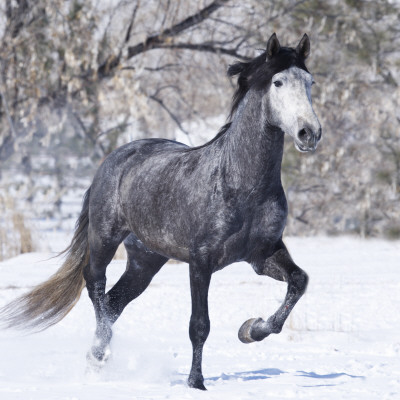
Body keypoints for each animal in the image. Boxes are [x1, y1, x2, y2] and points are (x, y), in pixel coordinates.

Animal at [0, 32, 320, 390]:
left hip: (146, 260)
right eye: (278, 82)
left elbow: (298, 282)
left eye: (310, 82)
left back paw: (97, 359)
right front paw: (196, 383)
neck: (241, 184)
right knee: (95, 285)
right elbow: (199, 324)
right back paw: (99, 354)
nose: (309, 133)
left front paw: (250, 329)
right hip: (104, 238)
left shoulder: (262, 255)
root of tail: (116, 157)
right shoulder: (201, 262)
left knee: (114, 301)